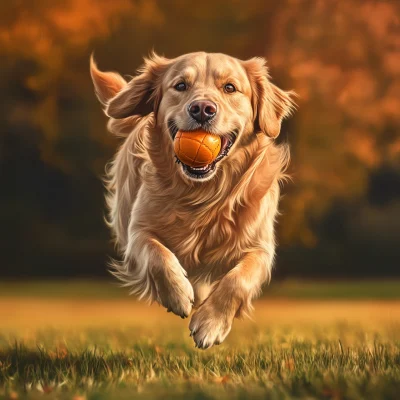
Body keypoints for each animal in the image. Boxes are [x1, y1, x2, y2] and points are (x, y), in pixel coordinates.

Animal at [90, 51, 296, 348]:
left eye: (230, 87)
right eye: (180, 86)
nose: (201, 109)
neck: (203, 196)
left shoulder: (260, 247)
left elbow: (238, 281)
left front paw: (211, 324)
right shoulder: (137, 231)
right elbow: (157, 254)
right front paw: (177, 294)